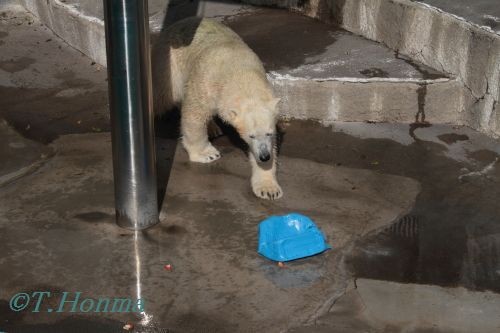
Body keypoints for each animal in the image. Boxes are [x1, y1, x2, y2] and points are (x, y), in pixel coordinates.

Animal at [153, 16, 282, 200]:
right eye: (251, 135)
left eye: (269, 133)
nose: (264, 156)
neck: (240, 71)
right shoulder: (206, 82)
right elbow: (194, 115)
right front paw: (207, 154)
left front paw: (268, 188)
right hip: (169, 65)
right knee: (162, 94)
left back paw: (213, 128)